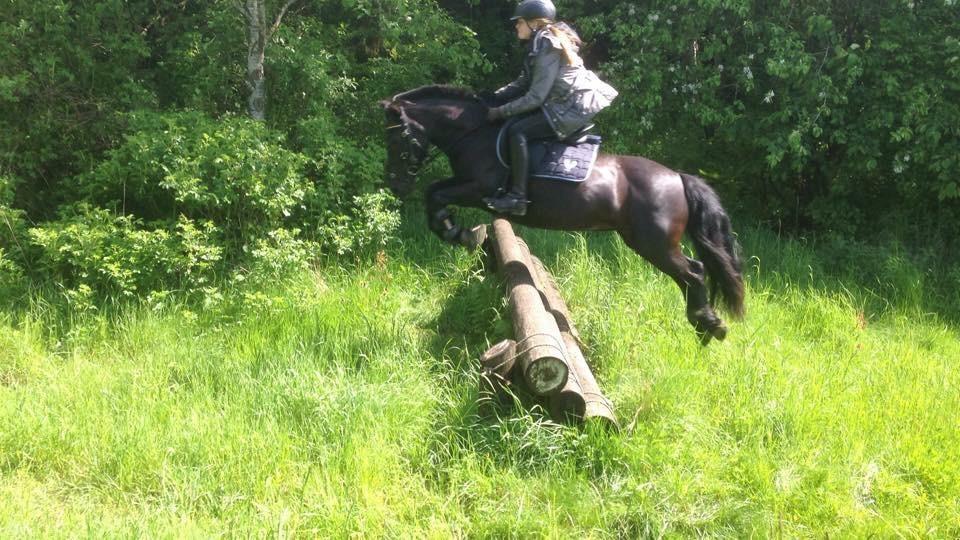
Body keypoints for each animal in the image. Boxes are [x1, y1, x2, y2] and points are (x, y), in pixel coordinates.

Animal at [380, 85, 744, 344]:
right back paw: (703, 325)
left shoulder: (480, 189)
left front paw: (460, 233)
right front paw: (461, 232)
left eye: (398, 139)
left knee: (694, 272)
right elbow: (433, 193)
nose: (395, 184)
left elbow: (436, 195)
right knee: (691, 274)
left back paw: (709, 325)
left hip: (653, 243)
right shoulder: (465, 184)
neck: (475, 134)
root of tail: (677, 177)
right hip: (648, 242)